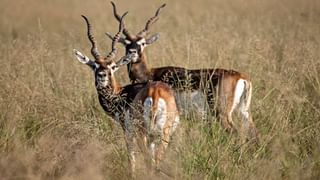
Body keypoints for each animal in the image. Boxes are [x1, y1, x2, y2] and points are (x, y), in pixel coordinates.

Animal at [73, 11, 180, 174]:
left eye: (112, 66)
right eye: (94, 65)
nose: (102, 75)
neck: (121, 94)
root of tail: (155, 92)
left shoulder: (128, 131)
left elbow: (131, 156)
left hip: (144, 133)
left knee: (150, 161)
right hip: (161, 135)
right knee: (155, 161)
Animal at [107, 2, 258, 141]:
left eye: (142, 43)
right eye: (126, 43)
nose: (132, 53)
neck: (151, 74)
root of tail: (242, 77)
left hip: (223, 114)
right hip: (244, 112)